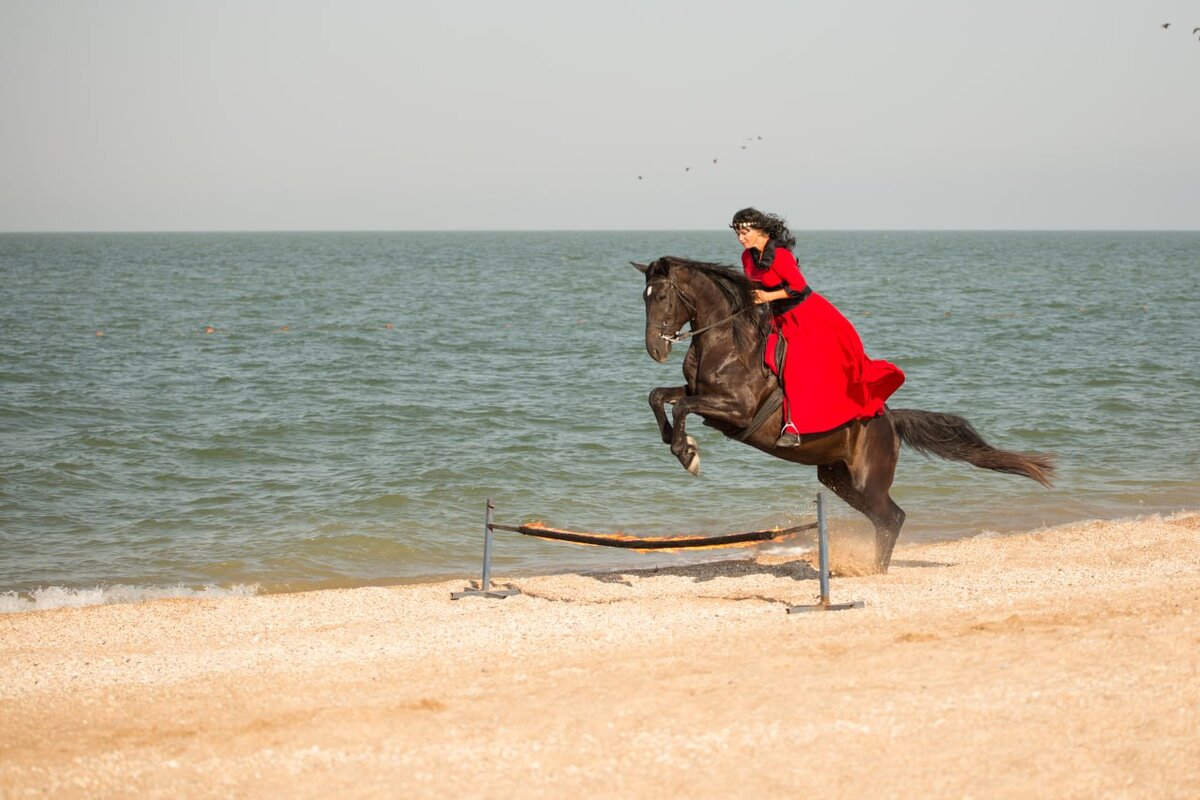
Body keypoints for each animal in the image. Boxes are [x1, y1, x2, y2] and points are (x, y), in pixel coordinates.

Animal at [633, 255, 1056, 568]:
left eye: (663, 297)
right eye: (644, 297)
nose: (655, 349)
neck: (724, 341)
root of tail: (890, 421)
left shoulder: (735, 410)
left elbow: (683, 405)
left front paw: (687, 453)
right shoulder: (703, 398)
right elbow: (660, 396)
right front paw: (673, 438)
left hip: (867, 479)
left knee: (892, 518)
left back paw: (874, 571)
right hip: (840, 480)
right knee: (886, 518)